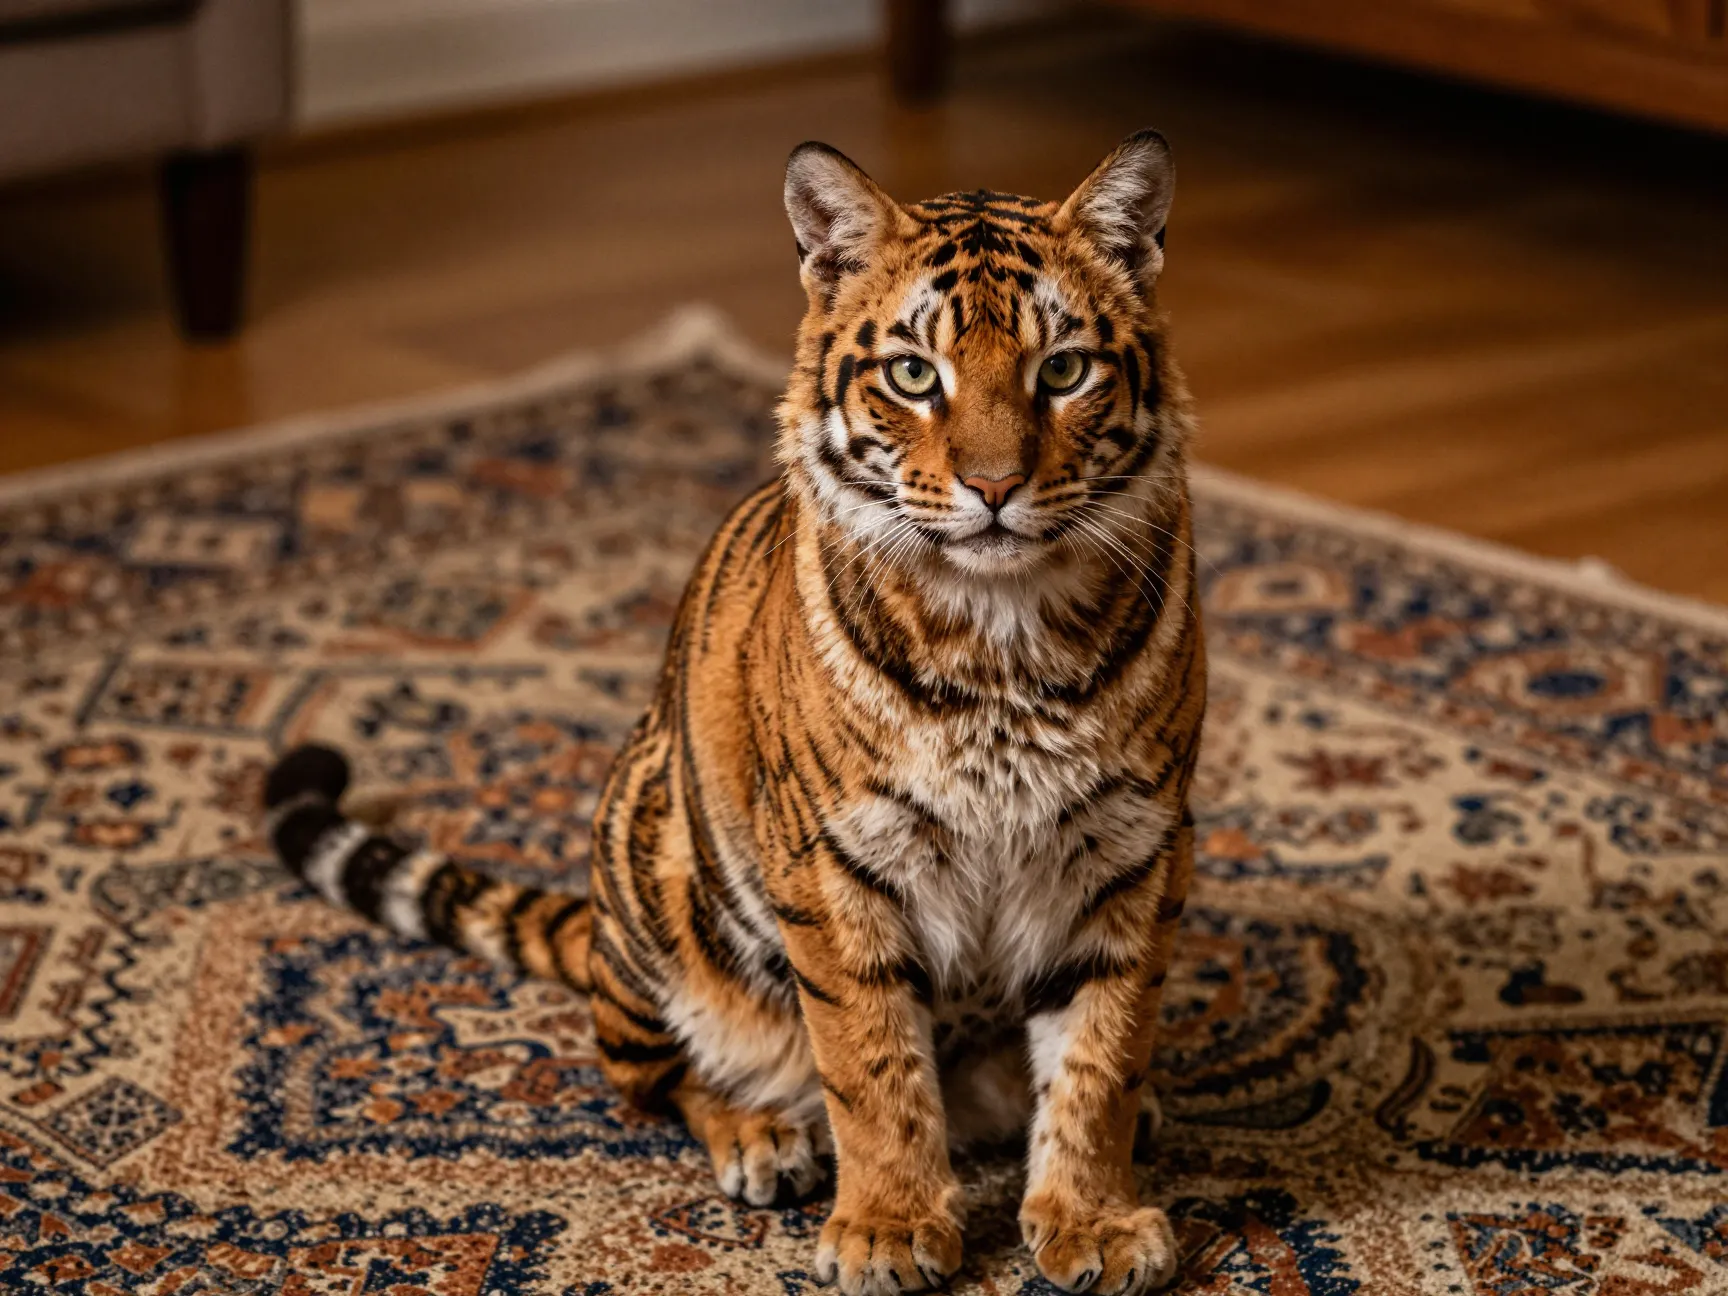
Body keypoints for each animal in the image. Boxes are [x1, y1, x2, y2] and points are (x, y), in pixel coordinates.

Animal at [263, 128, 1205, 1296]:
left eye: (1063, 370)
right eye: (914, 374)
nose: (994, 489)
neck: (1005, 632)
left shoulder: (1133, 849)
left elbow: (1100, 1055)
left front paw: (1095, 1219)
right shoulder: (841, 862)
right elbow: (872, 1065)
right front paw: (890, 1228)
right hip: (656, 866)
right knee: (652, 1077)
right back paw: (763, 1137)